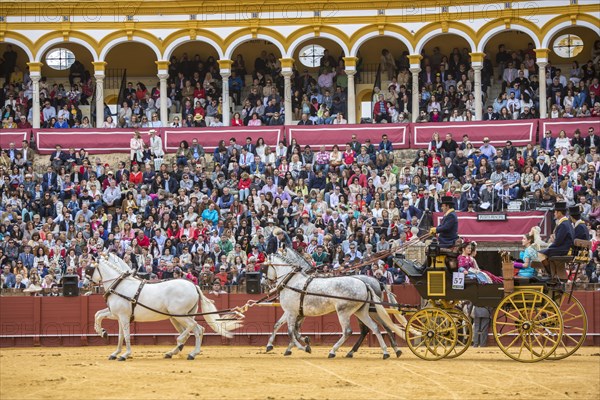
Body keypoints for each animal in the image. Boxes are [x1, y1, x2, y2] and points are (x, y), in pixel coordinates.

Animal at [86, 255, 239, 360]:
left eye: (89, 268)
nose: (86, 283)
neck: (120, 285)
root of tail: (194, 286)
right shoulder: (117, 315)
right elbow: (101, 318)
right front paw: (106, 338)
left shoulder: (123, 317)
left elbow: (126, 335)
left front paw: (125, 354)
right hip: (179, 317)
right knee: (196, 329)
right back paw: (178, 352)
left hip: (180, 315)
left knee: (195, 327)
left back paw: (187, 349)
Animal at [266, 253, 404, 360]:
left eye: (265, 267)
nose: (266, 283)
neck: (292, 281)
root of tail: (366, 284)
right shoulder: (294, 312)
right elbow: (279, 325)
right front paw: (270, 345)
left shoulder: (292, 313)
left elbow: (291, 332)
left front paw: (304, 347)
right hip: (362, 312)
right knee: (375, 327)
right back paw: (387, 352)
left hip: (344, 312)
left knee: (349, 331)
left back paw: (333, 351)